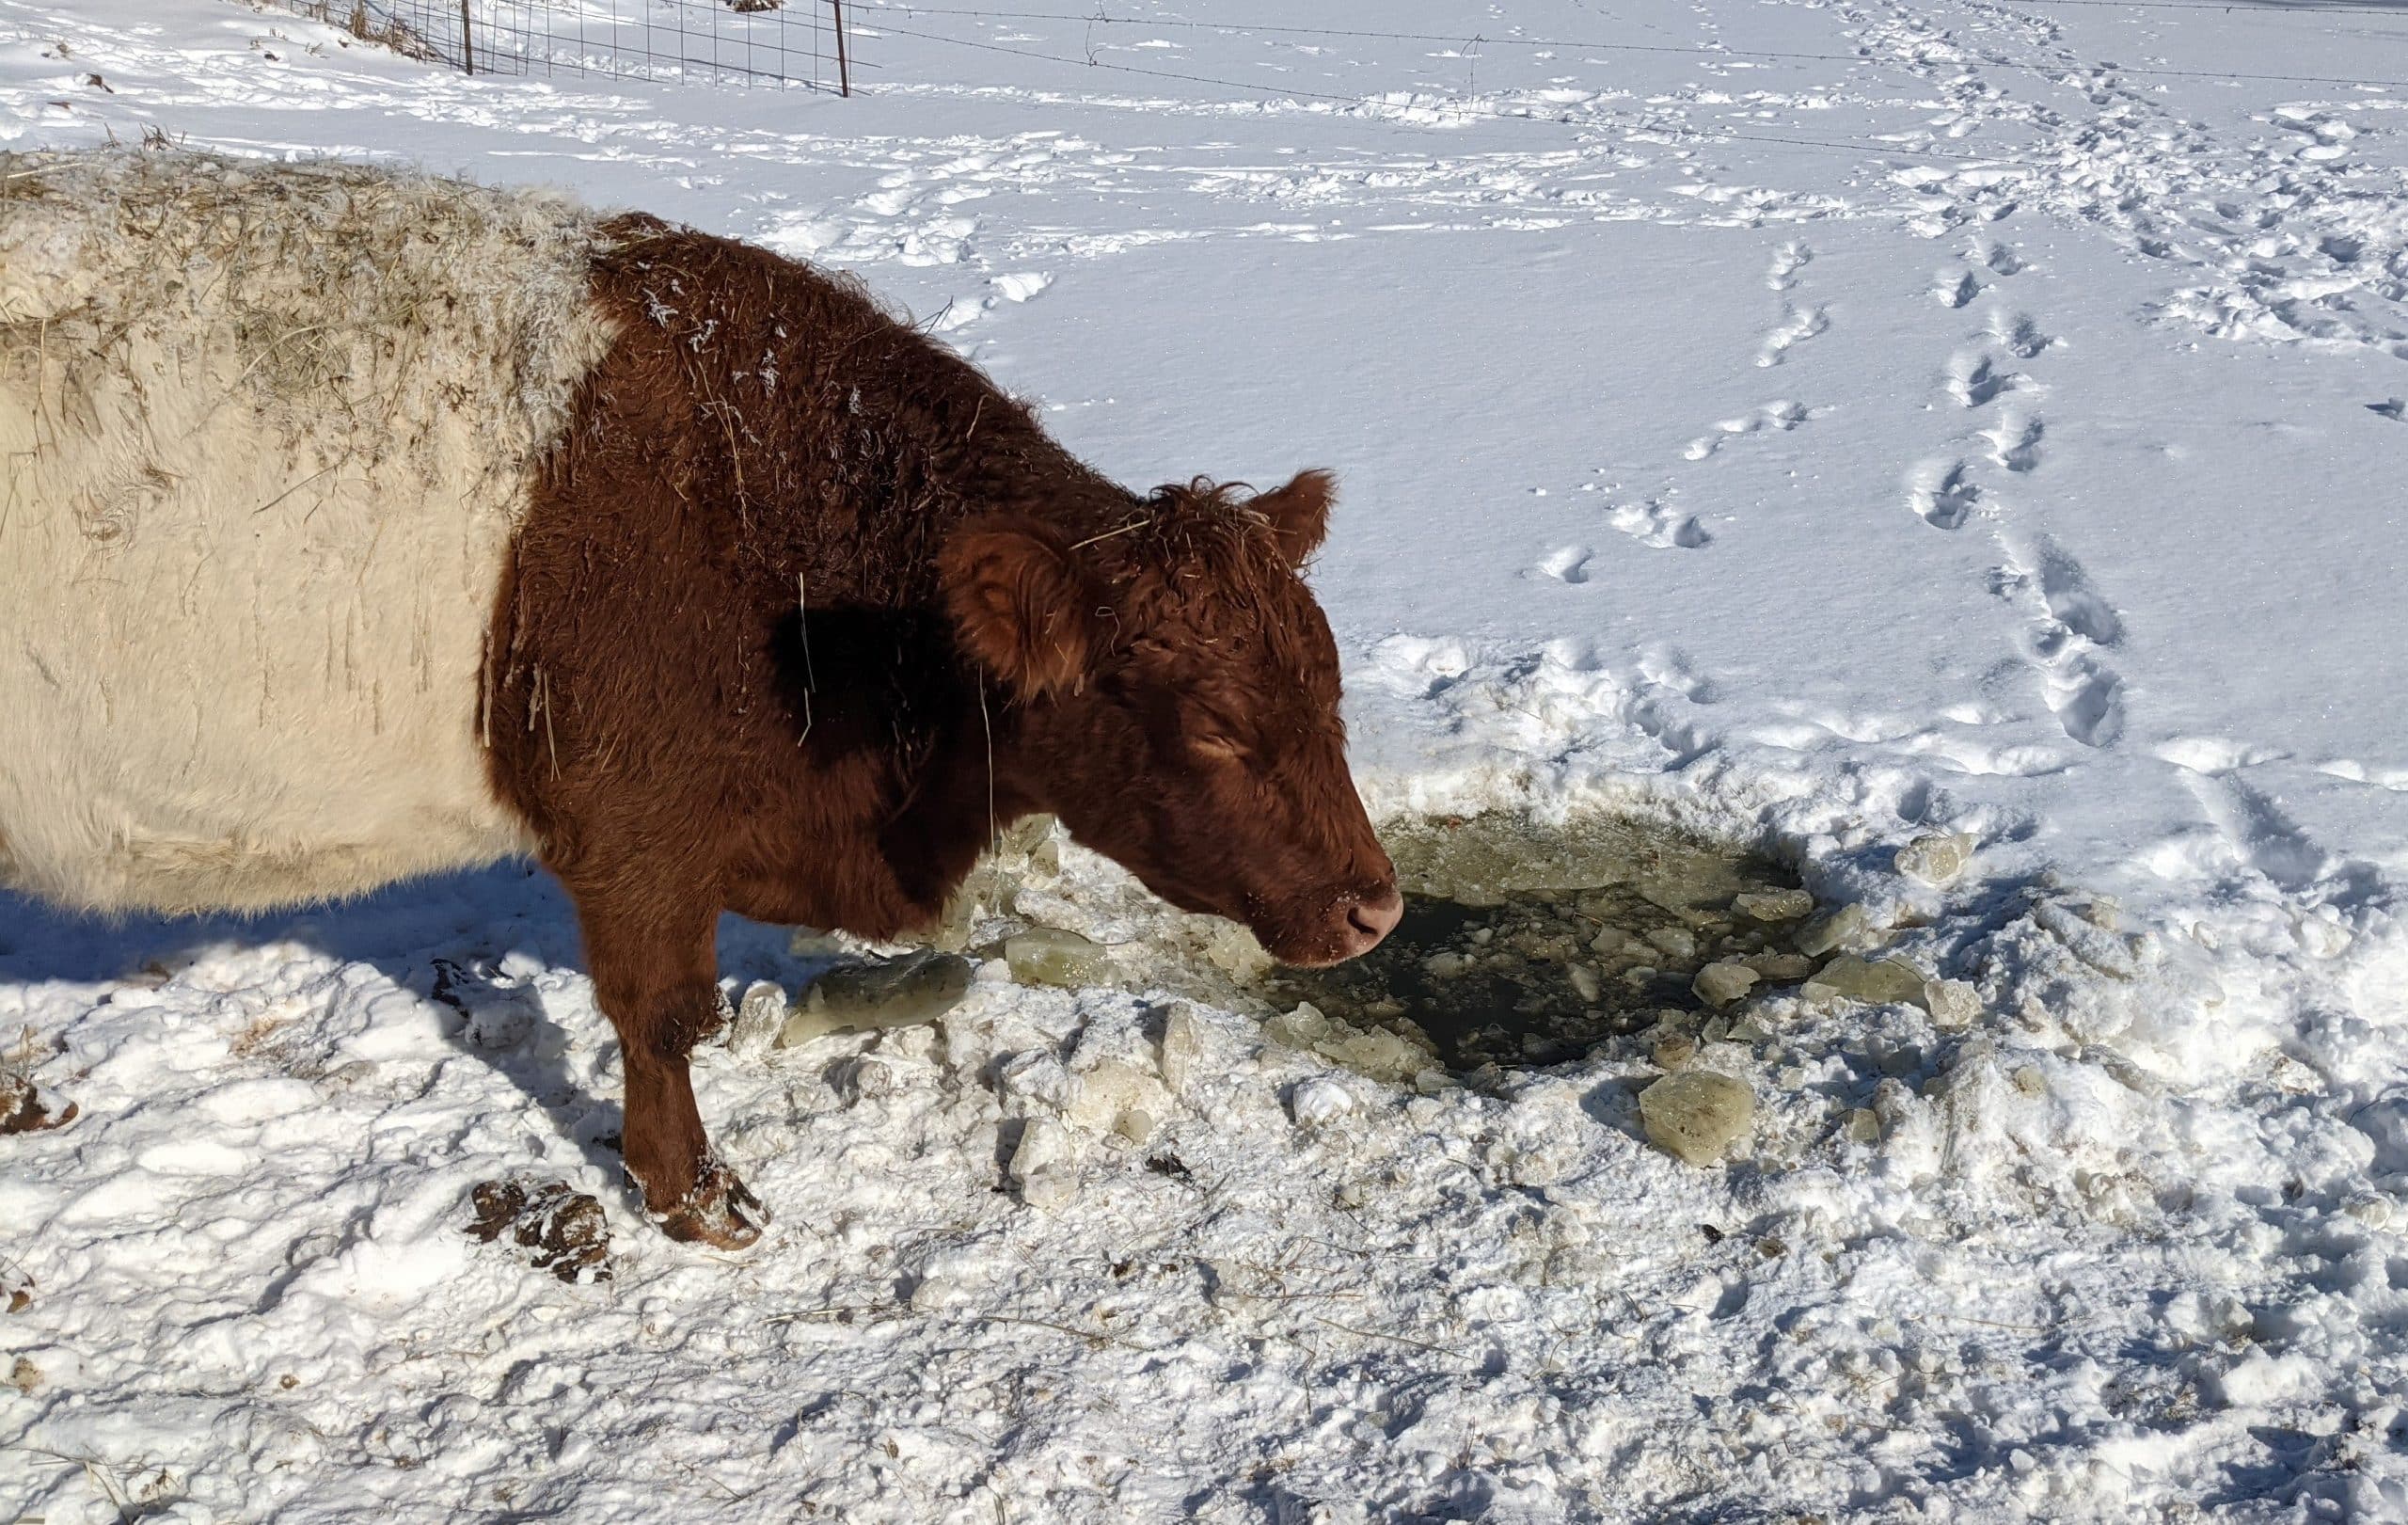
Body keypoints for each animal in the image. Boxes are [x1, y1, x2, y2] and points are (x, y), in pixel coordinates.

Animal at [0, 147, 1400, 1248]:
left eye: (1330, 685)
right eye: (1213, 724)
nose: (1373, 907)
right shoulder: (634, 828)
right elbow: (667, 1017)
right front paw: (698, 1195)